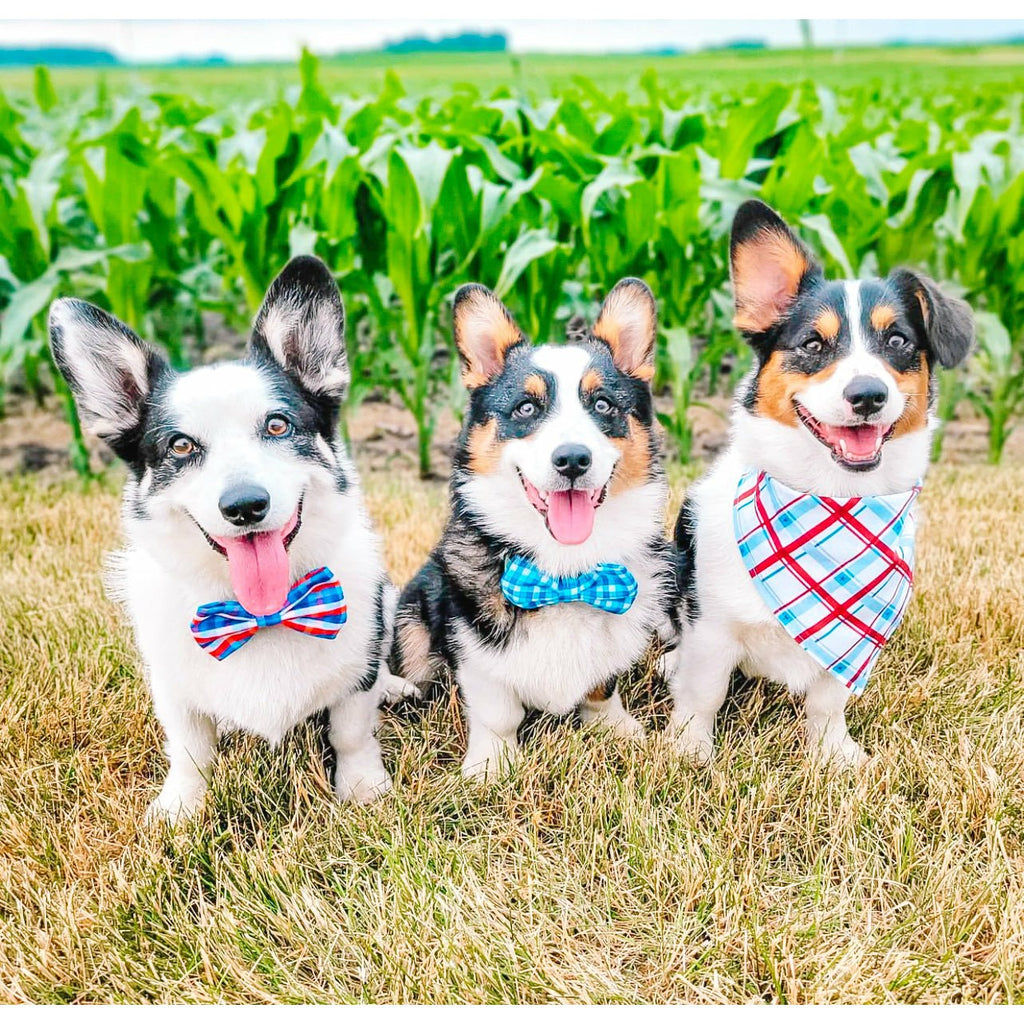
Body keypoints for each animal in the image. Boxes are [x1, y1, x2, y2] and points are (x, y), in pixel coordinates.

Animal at [393, 280, 688, 782]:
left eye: (603, 404)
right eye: (526, 408)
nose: (572, 459)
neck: (565, 573)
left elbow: (601, 686)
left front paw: (616, 728)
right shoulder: (473, 647)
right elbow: (497, 711)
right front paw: (490, 765)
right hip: (411, 617)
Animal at [667, 199, 970, 765]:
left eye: (898, 340)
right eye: (813, 343)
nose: (868, 394)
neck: (831, 498)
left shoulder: (852, 643)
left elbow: (828, 700)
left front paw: (833, 754)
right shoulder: (712, 629)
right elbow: (703, 694)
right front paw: (689, 750)